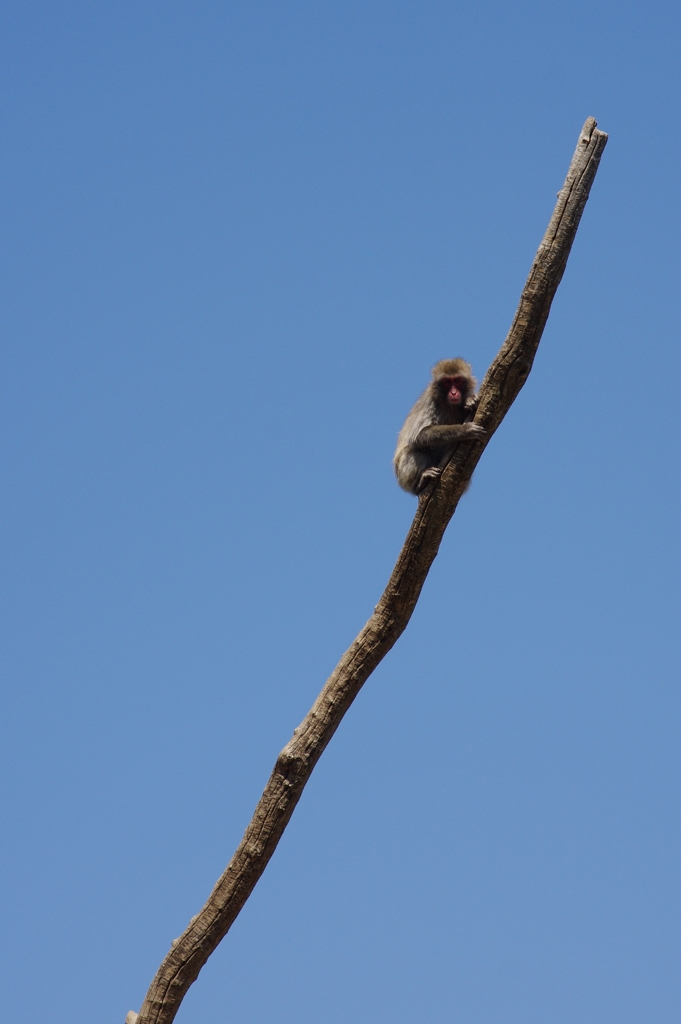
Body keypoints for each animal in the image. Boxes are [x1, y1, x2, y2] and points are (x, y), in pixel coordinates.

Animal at [391, 360, 485, 495]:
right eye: (447, 382)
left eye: (457, 380)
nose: (453, 393)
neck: (448, 404)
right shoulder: (431, 403)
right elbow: (419, 435)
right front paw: (466, 430)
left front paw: (469, 401)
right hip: (402, 477)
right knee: (414, 451)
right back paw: (420, 483)